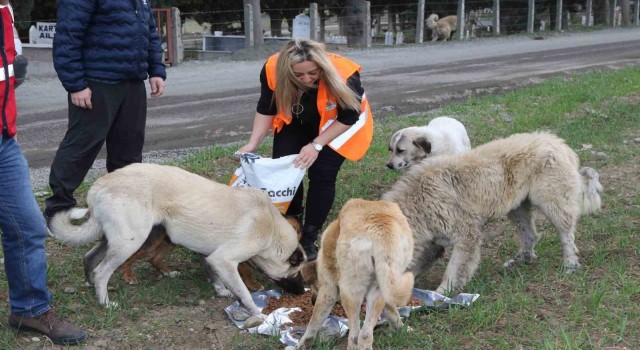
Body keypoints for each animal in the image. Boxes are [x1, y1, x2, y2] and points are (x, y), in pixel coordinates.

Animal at [50, 163, 304, 316]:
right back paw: (104, 302)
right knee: (102, 271)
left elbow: (215, 276)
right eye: (295, 273)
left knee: (89, 257)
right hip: (131, 242)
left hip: (117, 239)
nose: (303, 292)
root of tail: (98, 186)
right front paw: (257, 313)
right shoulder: (224, 260)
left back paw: (90, 285)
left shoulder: (210, 256)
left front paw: (221, 291)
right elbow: (244, 292)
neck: (271, 228)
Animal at [296, 200, 412, 350]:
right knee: (365, 334)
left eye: (313, 286)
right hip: (380, 288)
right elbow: (391, 311)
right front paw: (402, 329)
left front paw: (303, 342)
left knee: (354, 335)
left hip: (350, 293)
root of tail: (380, 230)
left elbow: (314, 321)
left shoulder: (328, 290)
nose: (312, 301)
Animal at [382, 133, 604, 294]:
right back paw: (521, 260)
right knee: (531, 235)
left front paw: (442, 293)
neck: (418, 201)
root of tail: (559, 143)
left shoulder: (466, 236)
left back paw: (570, 265)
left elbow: (453, 270)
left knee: (566, 236)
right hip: (517, 208)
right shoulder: (432, 243)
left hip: (553, 204)